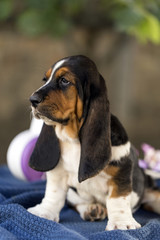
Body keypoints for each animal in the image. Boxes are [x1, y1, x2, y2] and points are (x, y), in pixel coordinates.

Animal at [28, 54, 160, 231]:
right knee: (75, 203)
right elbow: (54, 193)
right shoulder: (58, 173)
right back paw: (92, 209)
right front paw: (44, 211)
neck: (74, 139)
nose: (32, 100)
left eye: (64, 80)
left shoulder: (120, 173)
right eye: (45, 79)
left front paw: (121, 223)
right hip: (73, 194)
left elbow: (117, 199)